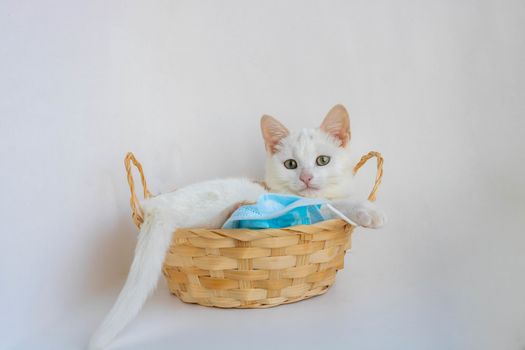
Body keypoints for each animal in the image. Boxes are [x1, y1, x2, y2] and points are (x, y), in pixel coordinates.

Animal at [88, 104, 384, 350]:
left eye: (323, 160)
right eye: (291, 164)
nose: (307, 178)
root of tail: (156, 206)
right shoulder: (307, 208)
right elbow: (333, 206)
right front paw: (368, 212)